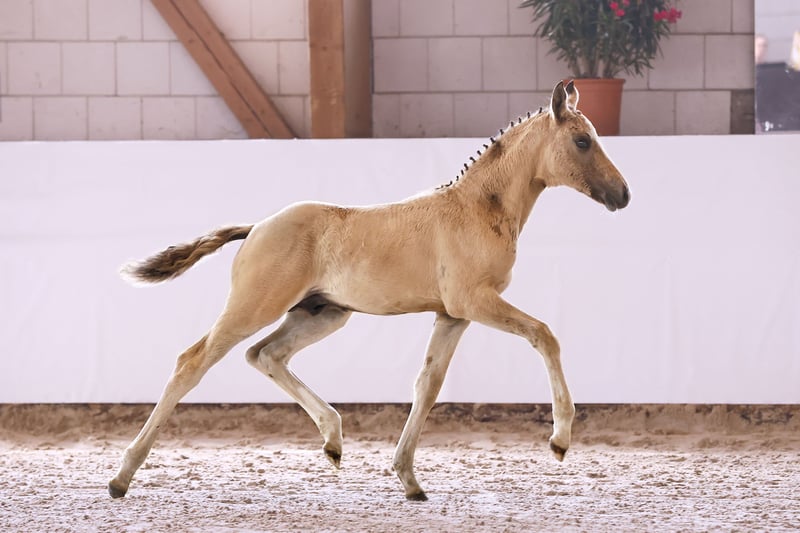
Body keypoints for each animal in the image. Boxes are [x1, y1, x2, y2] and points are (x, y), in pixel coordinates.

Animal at [108, 80, 630, 501]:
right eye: (582, 140)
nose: (623, 194)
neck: (477, 209)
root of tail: (256, 227)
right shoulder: (474, 301)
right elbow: (545, 335)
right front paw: (560, 439)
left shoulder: (452, 314)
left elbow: (428, 384)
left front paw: (409, 479)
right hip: (255, 306)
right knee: (192, 362)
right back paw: (121, 477)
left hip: (322, 313)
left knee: (265, 355)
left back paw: (333, 441)